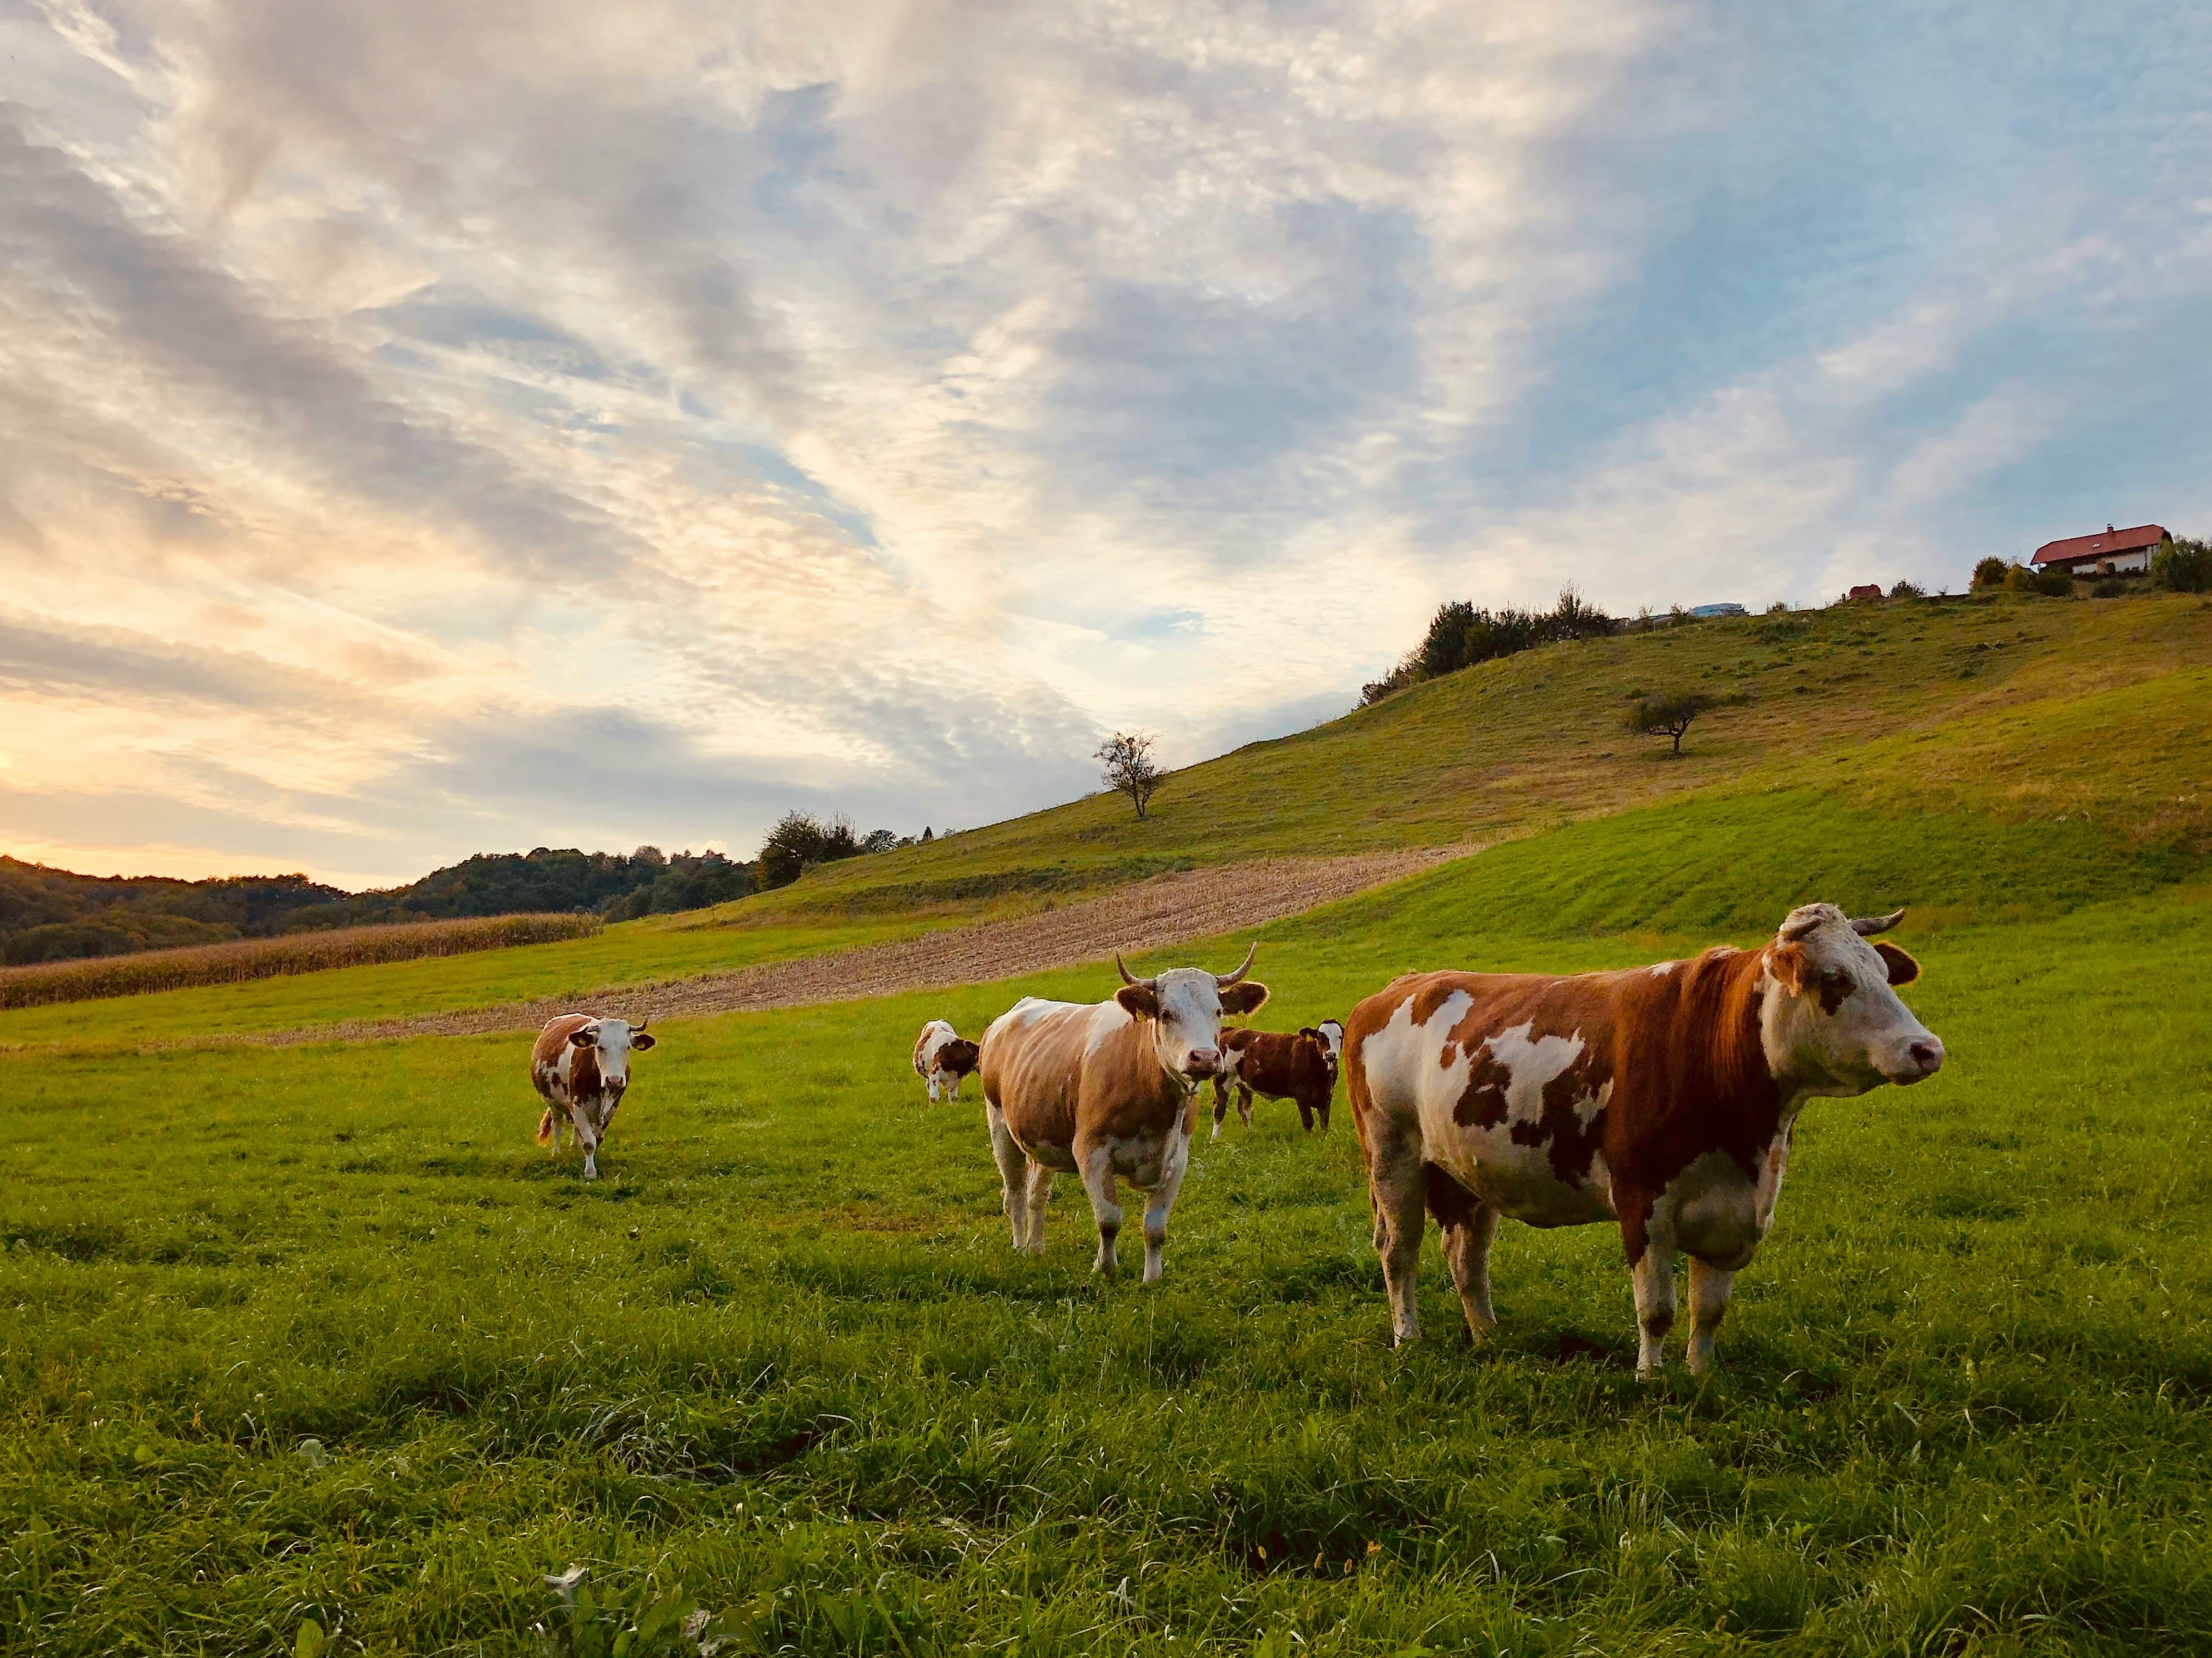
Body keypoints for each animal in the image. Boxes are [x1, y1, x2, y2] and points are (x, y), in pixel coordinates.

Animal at [531, 1014, 656, 1181]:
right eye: (600, 1047)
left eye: (628, 1047)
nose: (614, 1080)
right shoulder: (577, 1106)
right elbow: (589, 1142)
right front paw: (590, 1172)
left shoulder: (612, 1107)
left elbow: (597, 1139)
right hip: (553, 1103)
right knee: (558, 1127)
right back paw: (556, 1153)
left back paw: (575, 1147)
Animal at [978, 944, 1269, 1282]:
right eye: (1166, 1014)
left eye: (1218, 1011)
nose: (1205, 1057)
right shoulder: (1091, 1152)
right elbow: (1109, 1219)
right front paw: (1105, 1268)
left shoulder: (1177, 1158)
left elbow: (1155, 1228)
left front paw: (1152, 1279)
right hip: (1000, 1126)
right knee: (1015, 1194)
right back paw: (1020, 1246)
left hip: (1042, 1135)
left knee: (1037, 1193)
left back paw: (1036, 1248)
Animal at [1210, 1019, 1344, 1138]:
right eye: (1320, 1037)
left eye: (1340, 1037)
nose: (1330, 1055)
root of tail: (1230, 1030)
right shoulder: (1301, 1093)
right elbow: (1308, 1121)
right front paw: (1310, 1140)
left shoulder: (1327, 1093)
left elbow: (1324, 1122)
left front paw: (1325, 1138)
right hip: (1223, 1079)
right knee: (1219, 1108)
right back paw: (1215, 1139)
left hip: (1244, 1084)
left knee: (1245, 1108)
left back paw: (1253, 1133)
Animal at [1344, 903, 1943, 1376]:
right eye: (1834, 978)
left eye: (1884, 973)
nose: (1927, 1049)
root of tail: (1399, 986)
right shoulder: (1642, 1202)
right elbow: (1657, 1309)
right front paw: (1650, 1380)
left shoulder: (1736, 1213)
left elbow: (1709, 1310)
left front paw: (1700, 1377)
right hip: (1393, 1157)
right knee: (1399, 1250)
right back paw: (1408, 1338)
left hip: (1468, 1169)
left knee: (1466, 1257)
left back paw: (1489, 1338)